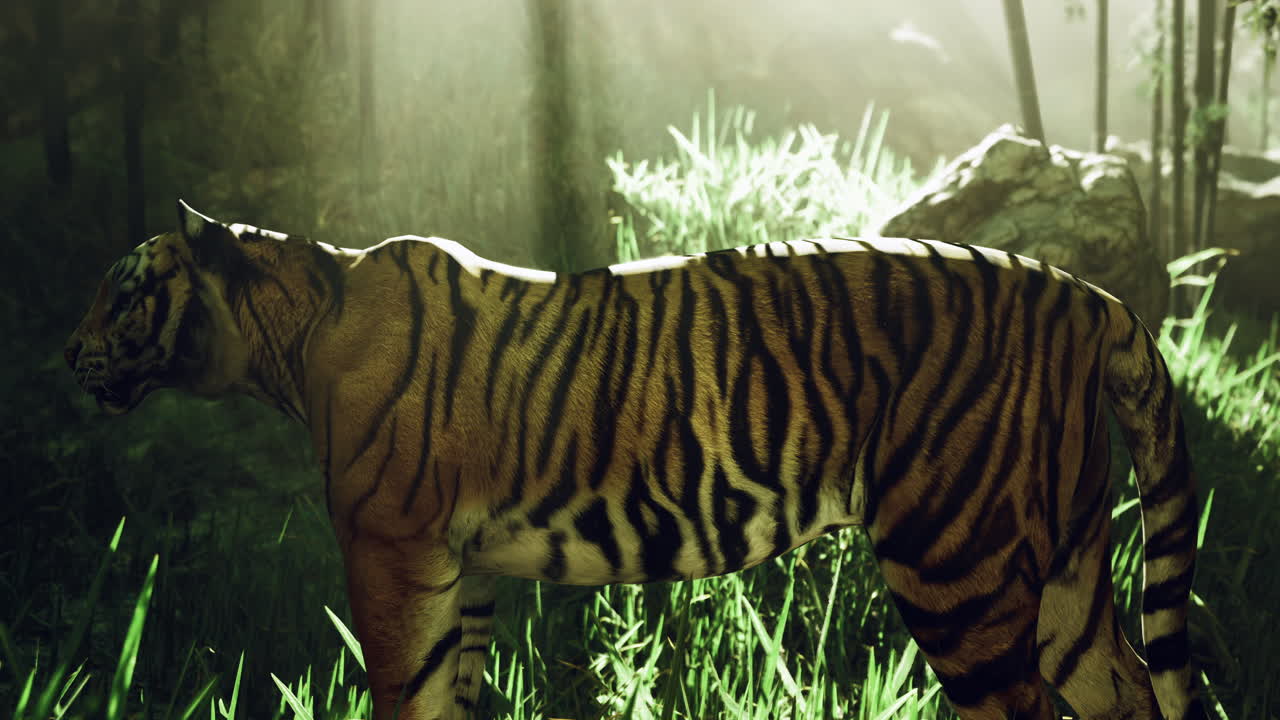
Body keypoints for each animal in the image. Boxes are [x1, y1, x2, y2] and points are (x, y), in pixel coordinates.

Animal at [65, 200, 1208, 720]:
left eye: (123, 291)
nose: (66, 354)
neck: (293, 334)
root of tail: (1088, 297)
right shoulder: (461, 568)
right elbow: (454, 695)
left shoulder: (392, 549)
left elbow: (404, 693)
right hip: (1057, 572)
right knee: (1131, 690)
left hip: (956, 561)